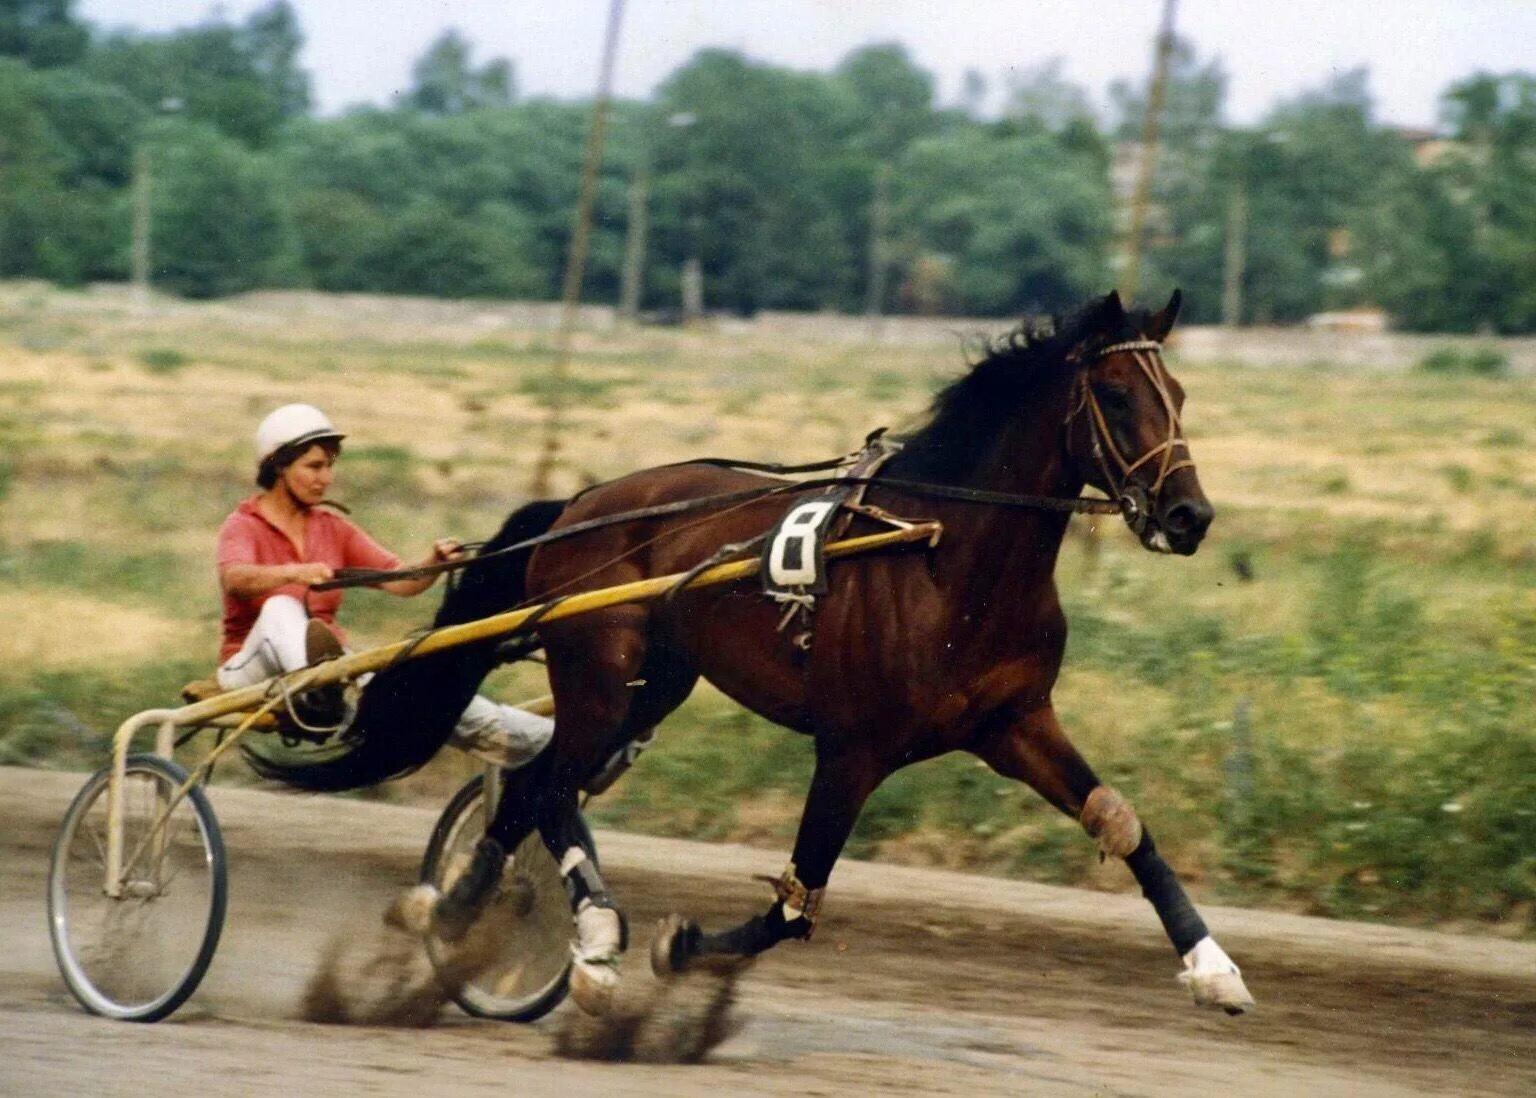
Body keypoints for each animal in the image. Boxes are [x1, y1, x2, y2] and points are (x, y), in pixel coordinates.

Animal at [251, 287, 1253, 1019]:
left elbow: (1121, 823)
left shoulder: (1013, 722)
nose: (1189, 515)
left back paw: (471, 912)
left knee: (536, 788)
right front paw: (680, 945)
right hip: (599, 675)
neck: (947, 554)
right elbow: (795, 903)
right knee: (552, 787)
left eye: (1180, 398)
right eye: (1117, 397)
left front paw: (1214, 966)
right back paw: (572, 936)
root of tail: (585, 502)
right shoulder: (852, 749)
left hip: (653, 688)